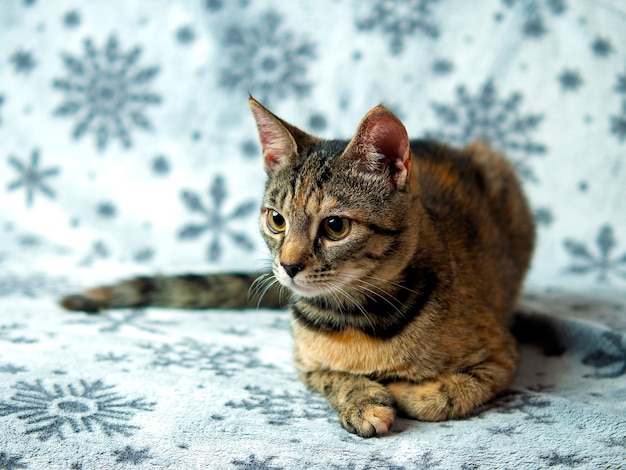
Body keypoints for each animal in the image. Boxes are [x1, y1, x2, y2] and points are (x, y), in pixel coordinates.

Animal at [61, 97, 532, 438]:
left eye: (336, 227)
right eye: (276, 220)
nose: (287, 266)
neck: (353, 318)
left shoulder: (500, 354)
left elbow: (448, 396)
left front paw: (405, 392)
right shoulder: (304, 361)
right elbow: (332, 377)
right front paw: (362, 399)